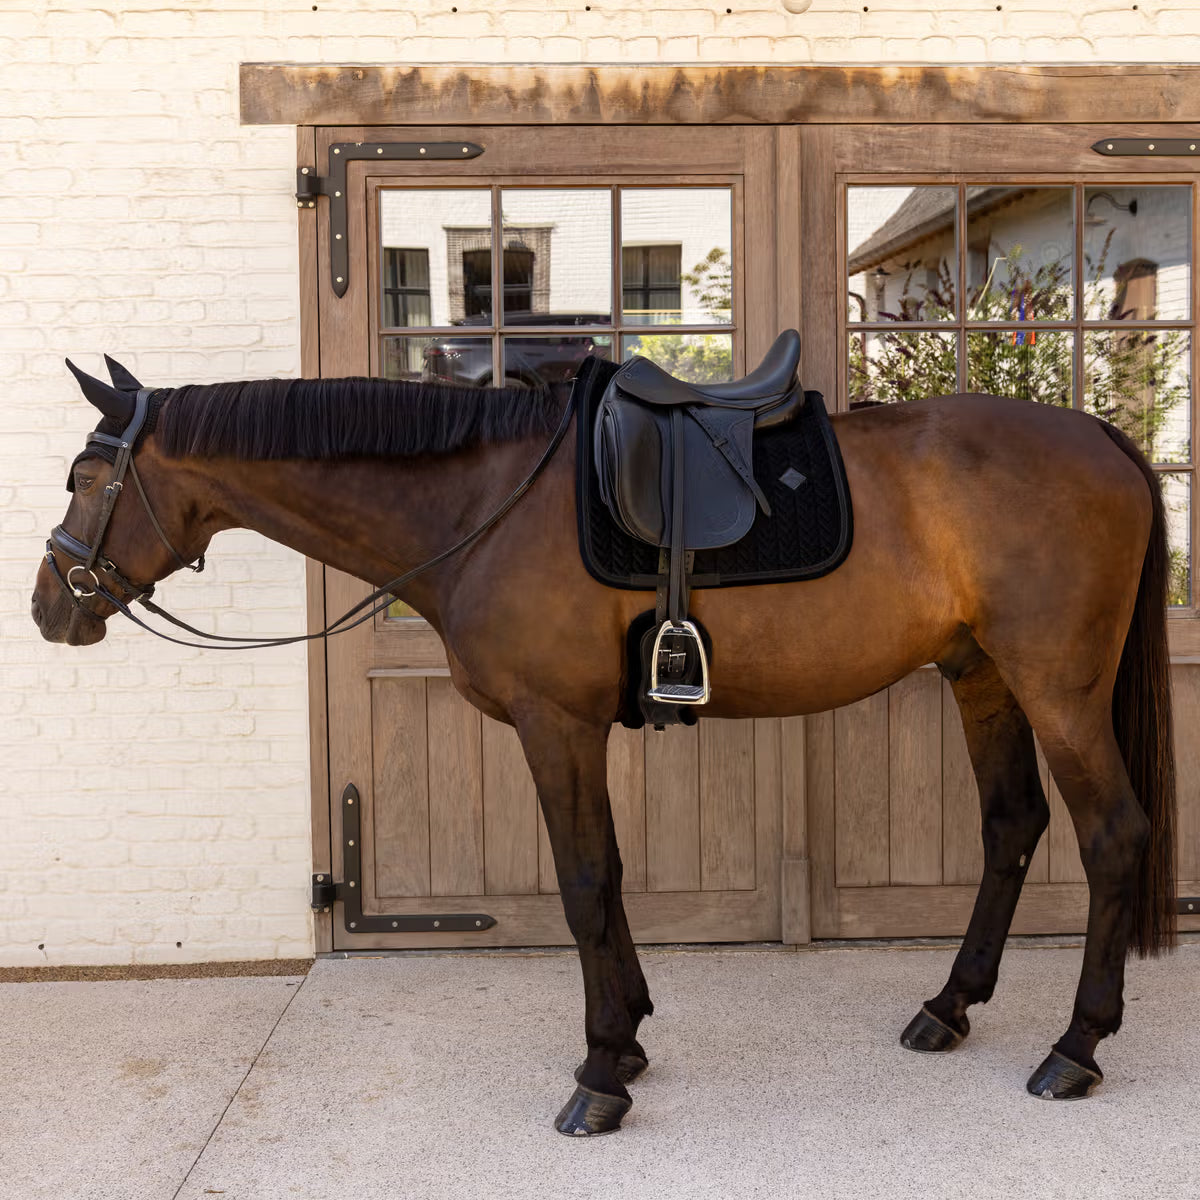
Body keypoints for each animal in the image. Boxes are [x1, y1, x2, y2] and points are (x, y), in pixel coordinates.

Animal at [32, 352, 1176, 1136]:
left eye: (87, 476)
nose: (51, 606)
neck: (481, 501)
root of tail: (1103, 439)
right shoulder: (575, 731)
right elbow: (611, 876)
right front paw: (627, 1040)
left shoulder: (557, 725)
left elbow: (584, 882)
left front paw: (596, 1078)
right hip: (980, 674)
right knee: (1011, 826)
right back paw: (949, 1007)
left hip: (1058, 688)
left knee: (1114, 834)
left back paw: (1075, 1049)